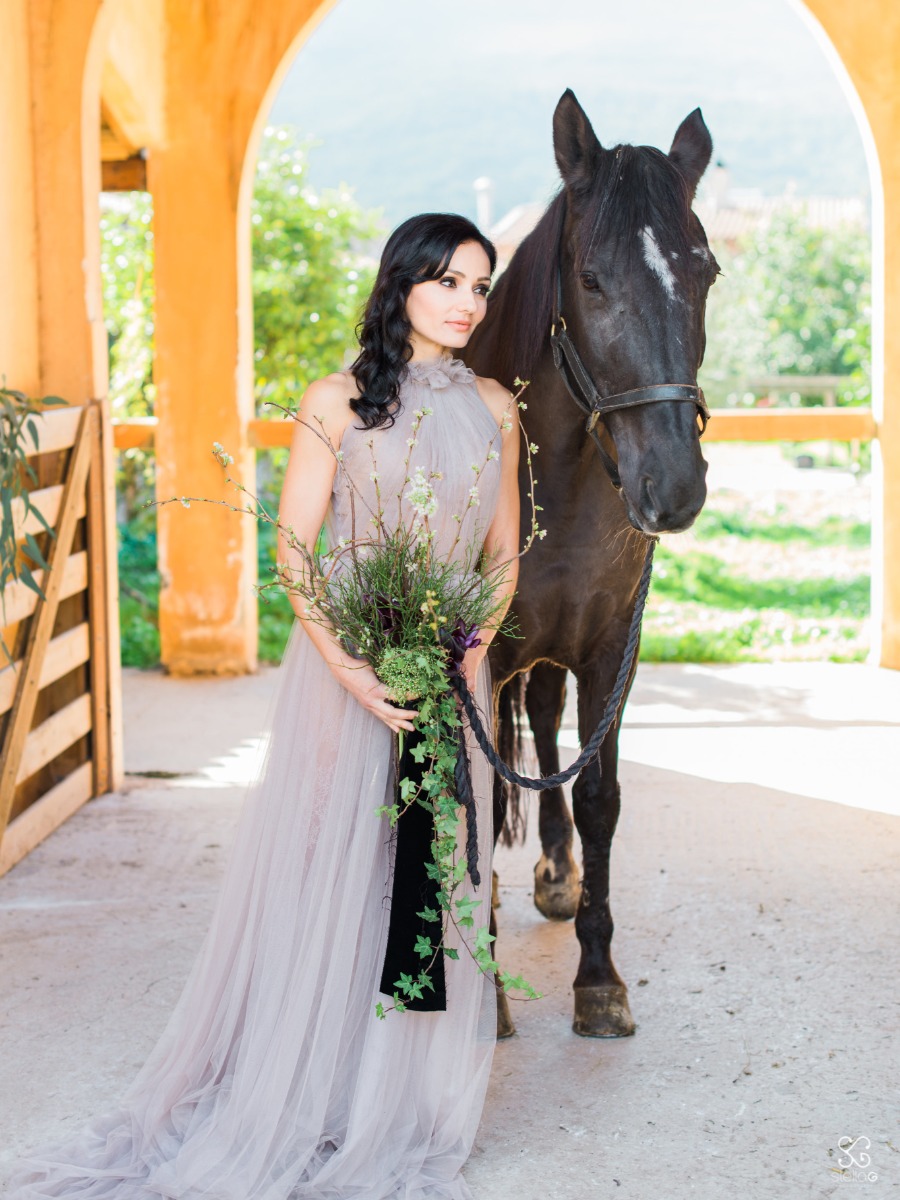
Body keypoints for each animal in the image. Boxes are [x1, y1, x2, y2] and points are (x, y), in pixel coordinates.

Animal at [465, 88, 720, 1036]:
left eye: (706, 272)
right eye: (592, 277)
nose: (673, 485)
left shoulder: (612, 648)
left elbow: (600, 799)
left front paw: (600, 977)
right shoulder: (481, 657)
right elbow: (479, 791)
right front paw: (490, 998)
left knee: (544, 731)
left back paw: (556, 874)